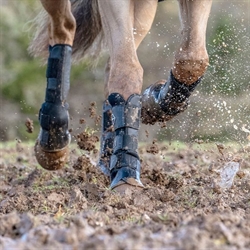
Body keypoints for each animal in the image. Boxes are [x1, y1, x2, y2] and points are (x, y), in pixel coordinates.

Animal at [29, 0, 213, 193]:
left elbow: (192, 61)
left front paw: (152, 103)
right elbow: (127, 70)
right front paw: (126, 176)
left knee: (110, 65)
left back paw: (106, 161)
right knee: (64, 28)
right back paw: (53, 141)